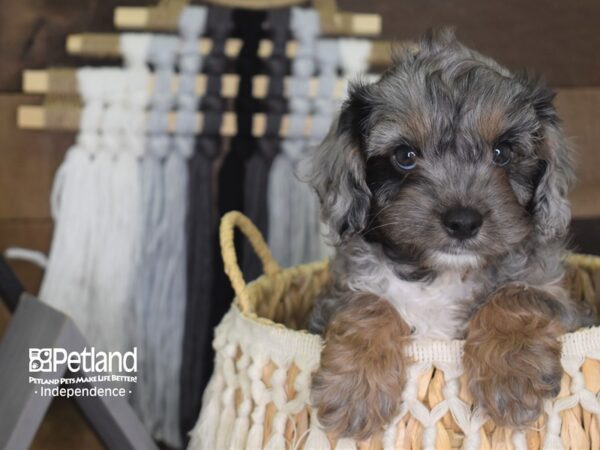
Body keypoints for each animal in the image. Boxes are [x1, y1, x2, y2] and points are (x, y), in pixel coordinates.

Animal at [308, 29, 592, 442]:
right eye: (405, 156)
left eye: (502, 152)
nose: (463, 222)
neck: (442, 273)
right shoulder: (340, 291)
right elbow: (368, 303)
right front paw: (354, 391)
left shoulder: (557, 294)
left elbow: (517, 294)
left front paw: (513, 379)